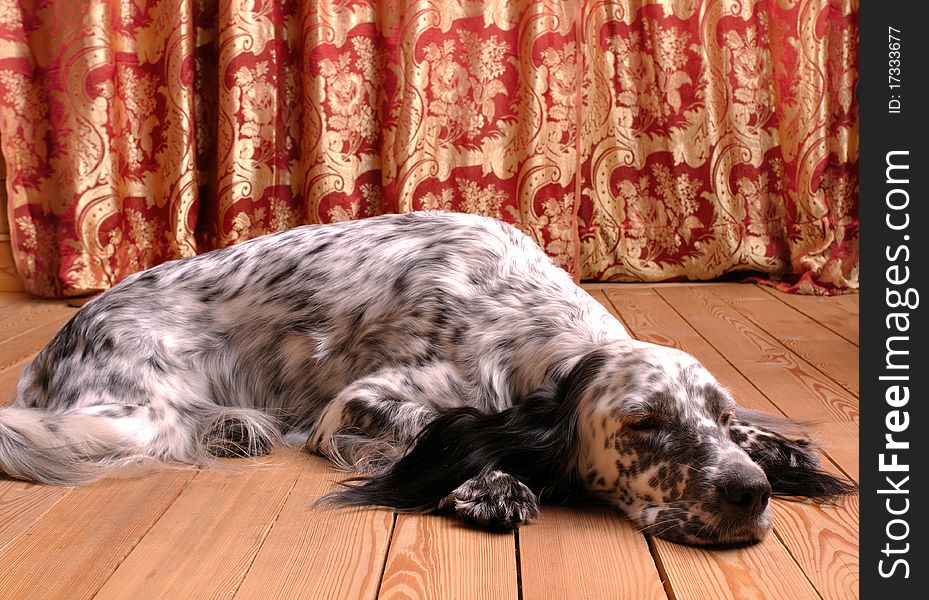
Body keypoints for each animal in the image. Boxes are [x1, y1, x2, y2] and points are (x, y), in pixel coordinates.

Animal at [0, 213, 848, 548]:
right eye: (642, 424)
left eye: (718, 414)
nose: (749, 496)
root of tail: (55, 345)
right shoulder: (362, 402)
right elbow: (432, 433)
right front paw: (491, 483)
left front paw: (779, 451)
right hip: (132, 413)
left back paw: (236, 427)